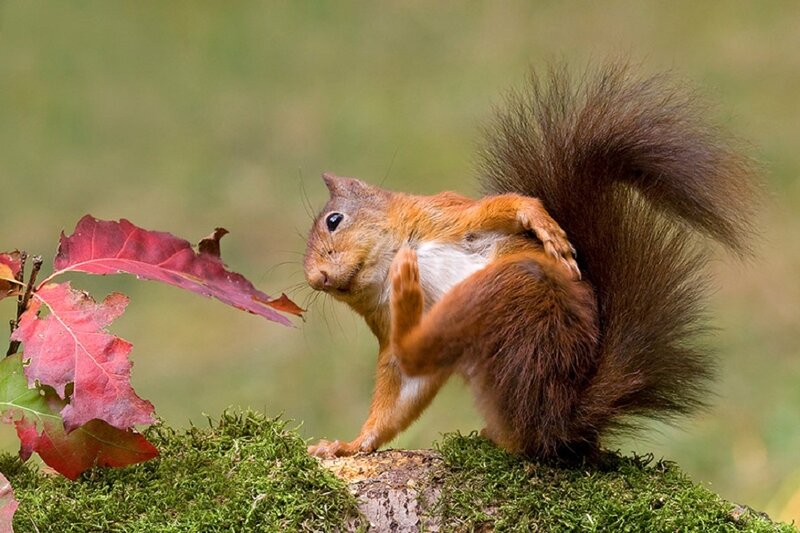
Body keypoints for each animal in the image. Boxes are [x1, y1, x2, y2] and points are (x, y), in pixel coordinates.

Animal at [303, 63, 757, 460]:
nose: (315, 278)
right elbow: (402, 386)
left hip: (510, 292)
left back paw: (408, 284)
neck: (392, 256)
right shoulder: (383, 321)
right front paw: (351, 445)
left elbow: (505, 206)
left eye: (333, 220)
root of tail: (559, 419)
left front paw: (544, 226)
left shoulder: (445, 217)